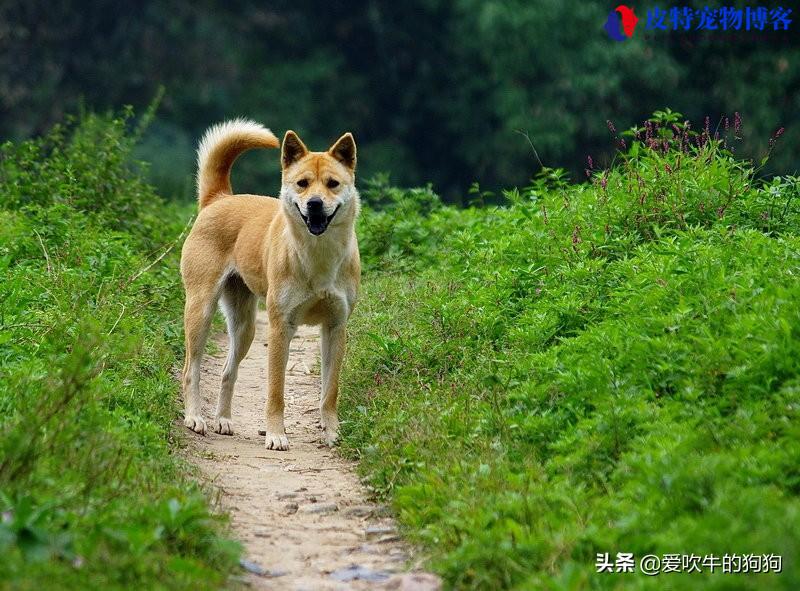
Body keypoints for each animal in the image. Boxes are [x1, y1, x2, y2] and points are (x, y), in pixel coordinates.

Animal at [180, 121, 360, 454]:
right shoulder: (280, 328)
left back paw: (223, 420)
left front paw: (331, 433)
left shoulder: (335, 327)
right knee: (190, 370)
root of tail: (220, 198)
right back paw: (195, 417)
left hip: (245, 327)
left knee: (227, 372)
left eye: (333, 184)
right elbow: (276, 391)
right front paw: (276, 435)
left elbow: (330, 391)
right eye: (302, 183)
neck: (318, 256)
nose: (315, 204)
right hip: (200, 311)